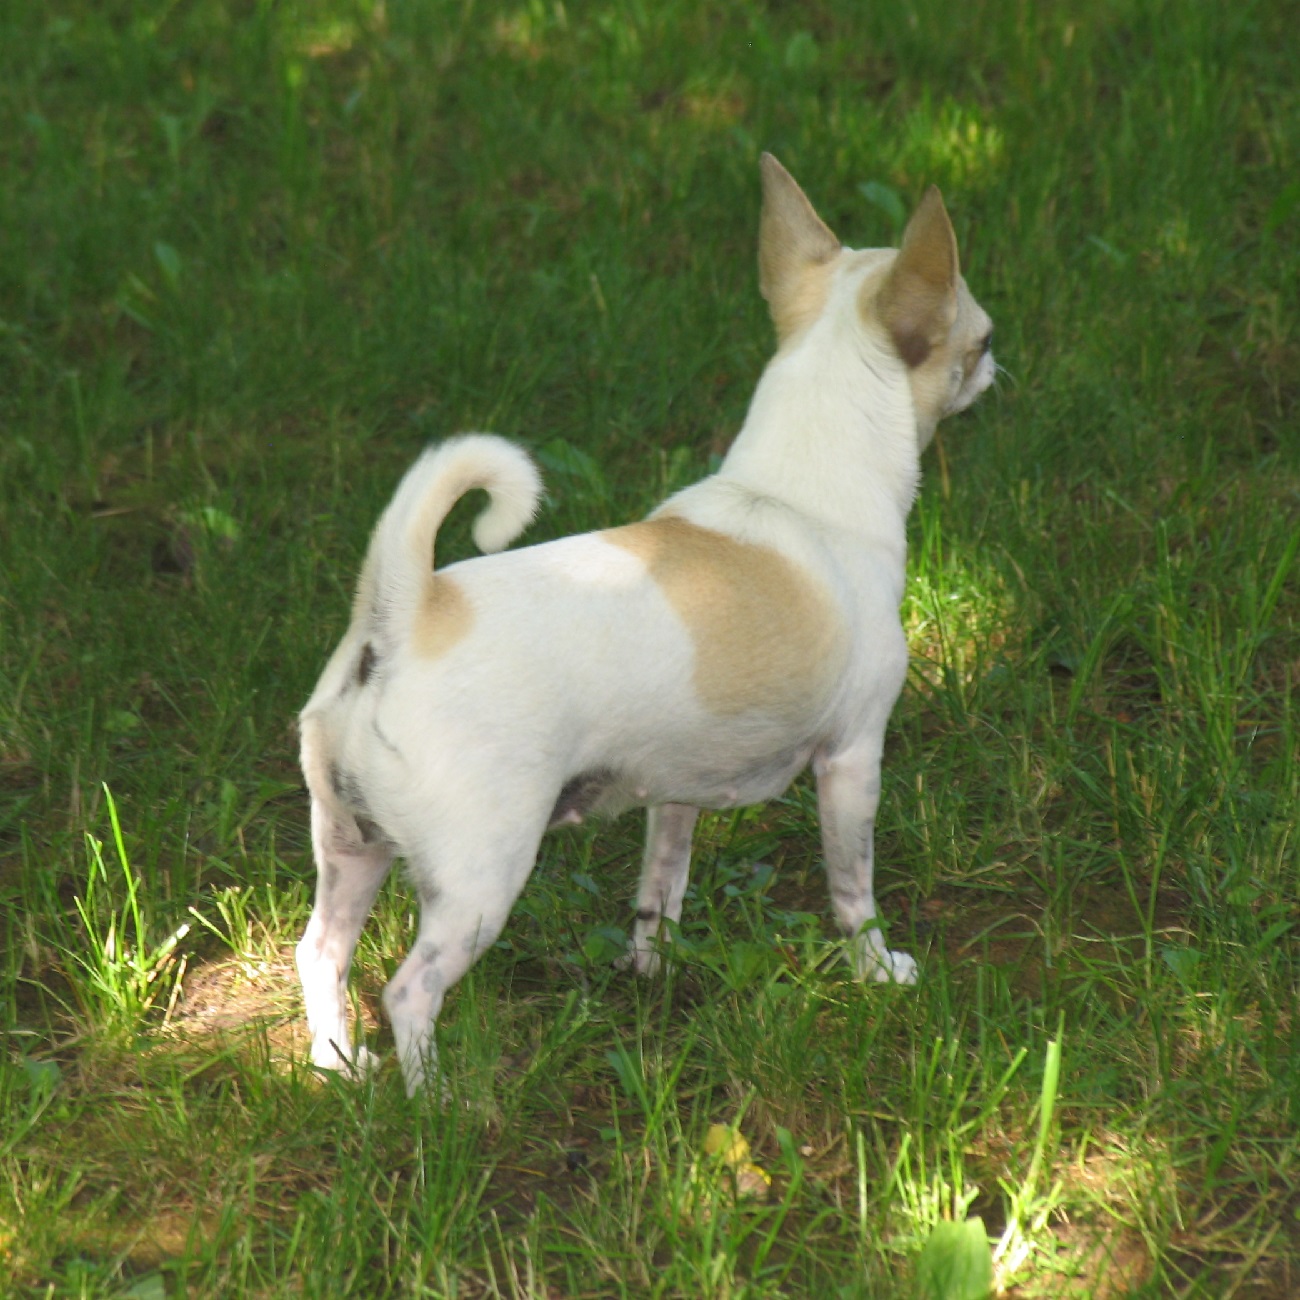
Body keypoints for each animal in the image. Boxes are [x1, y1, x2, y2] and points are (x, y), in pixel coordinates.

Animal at [295, 154, 995, 1094]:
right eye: (980, 340)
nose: (1001, 363)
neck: (796, 488)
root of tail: (404, 614)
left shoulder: (676, 789)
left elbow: (662, 885)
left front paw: (652, 969)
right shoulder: (853, 758)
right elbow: (854, 890)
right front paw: (879, 972)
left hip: (351, 847)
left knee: (322, 953)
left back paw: (338, 1066)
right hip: (483, 875)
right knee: (409, 989)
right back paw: (441, 1101)